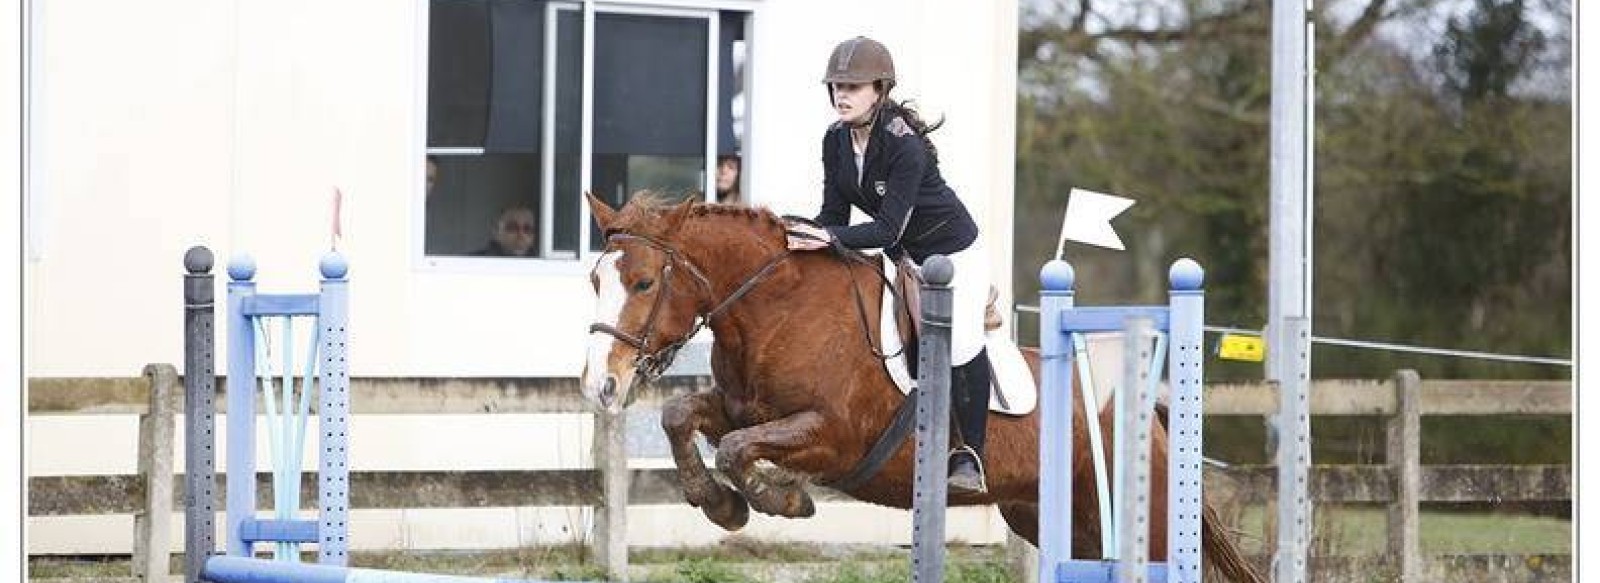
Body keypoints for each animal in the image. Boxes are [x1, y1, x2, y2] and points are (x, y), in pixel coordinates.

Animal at [579, 192, 1260, 583]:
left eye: (644, 283)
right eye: (594, 279)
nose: (600, 385)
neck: (775, 310)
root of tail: (1156, 415)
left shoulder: (834, 436)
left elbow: (738, 449)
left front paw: (782, 498)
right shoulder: (739, 407)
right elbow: (682, 417)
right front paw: (722, 505)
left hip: (1142, 519)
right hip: (1056, 520)